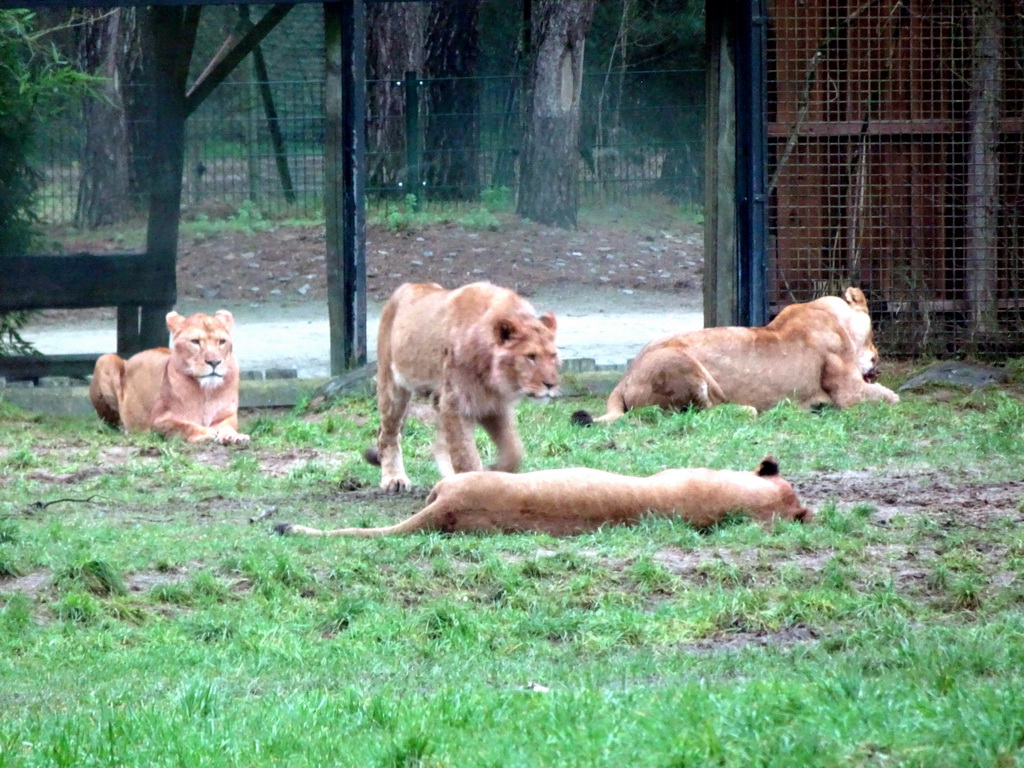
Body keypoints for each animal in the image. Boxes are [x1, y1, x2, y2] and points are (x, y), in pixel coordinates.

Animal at [88, 311, 247, 448]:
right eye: (195, 341)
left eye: (221, 341)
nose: (214, 362)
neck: (206, 392)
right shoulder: (158, 420)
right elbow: (183, 426)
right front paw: (207, 433)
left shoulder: (227, 416)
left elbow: (228, 427)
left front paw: (234, 436)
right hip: (105, 359)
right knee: (111, 422)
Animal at [573, 286, 901, 423]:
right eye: (873, 338)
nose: (877, 358)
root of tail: (624, 378)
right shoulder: (849, 391)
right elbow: (892, 397)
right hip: (682, 364)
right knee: (697, 411)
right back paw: (748, 410)